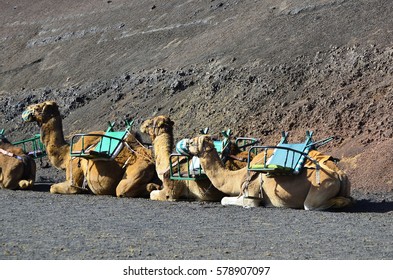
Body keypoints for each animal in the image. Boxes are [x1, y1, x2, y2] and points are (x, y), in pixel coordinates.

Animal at [21, 101, 159, 197]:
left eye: (38, 107)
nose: (25, 111)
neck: (66, 154)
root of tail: (152, 161)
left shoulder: (74, 178)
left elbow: (53, 188)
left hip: (136, 170)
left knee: (122, 189)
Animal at [185, 135, 354, 210]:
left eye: (192, 141)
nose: (185, 143)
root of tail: (340, 174)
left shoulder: (251, 195)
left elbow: (224, 199)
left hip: (320, 187)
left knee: (310, 205)